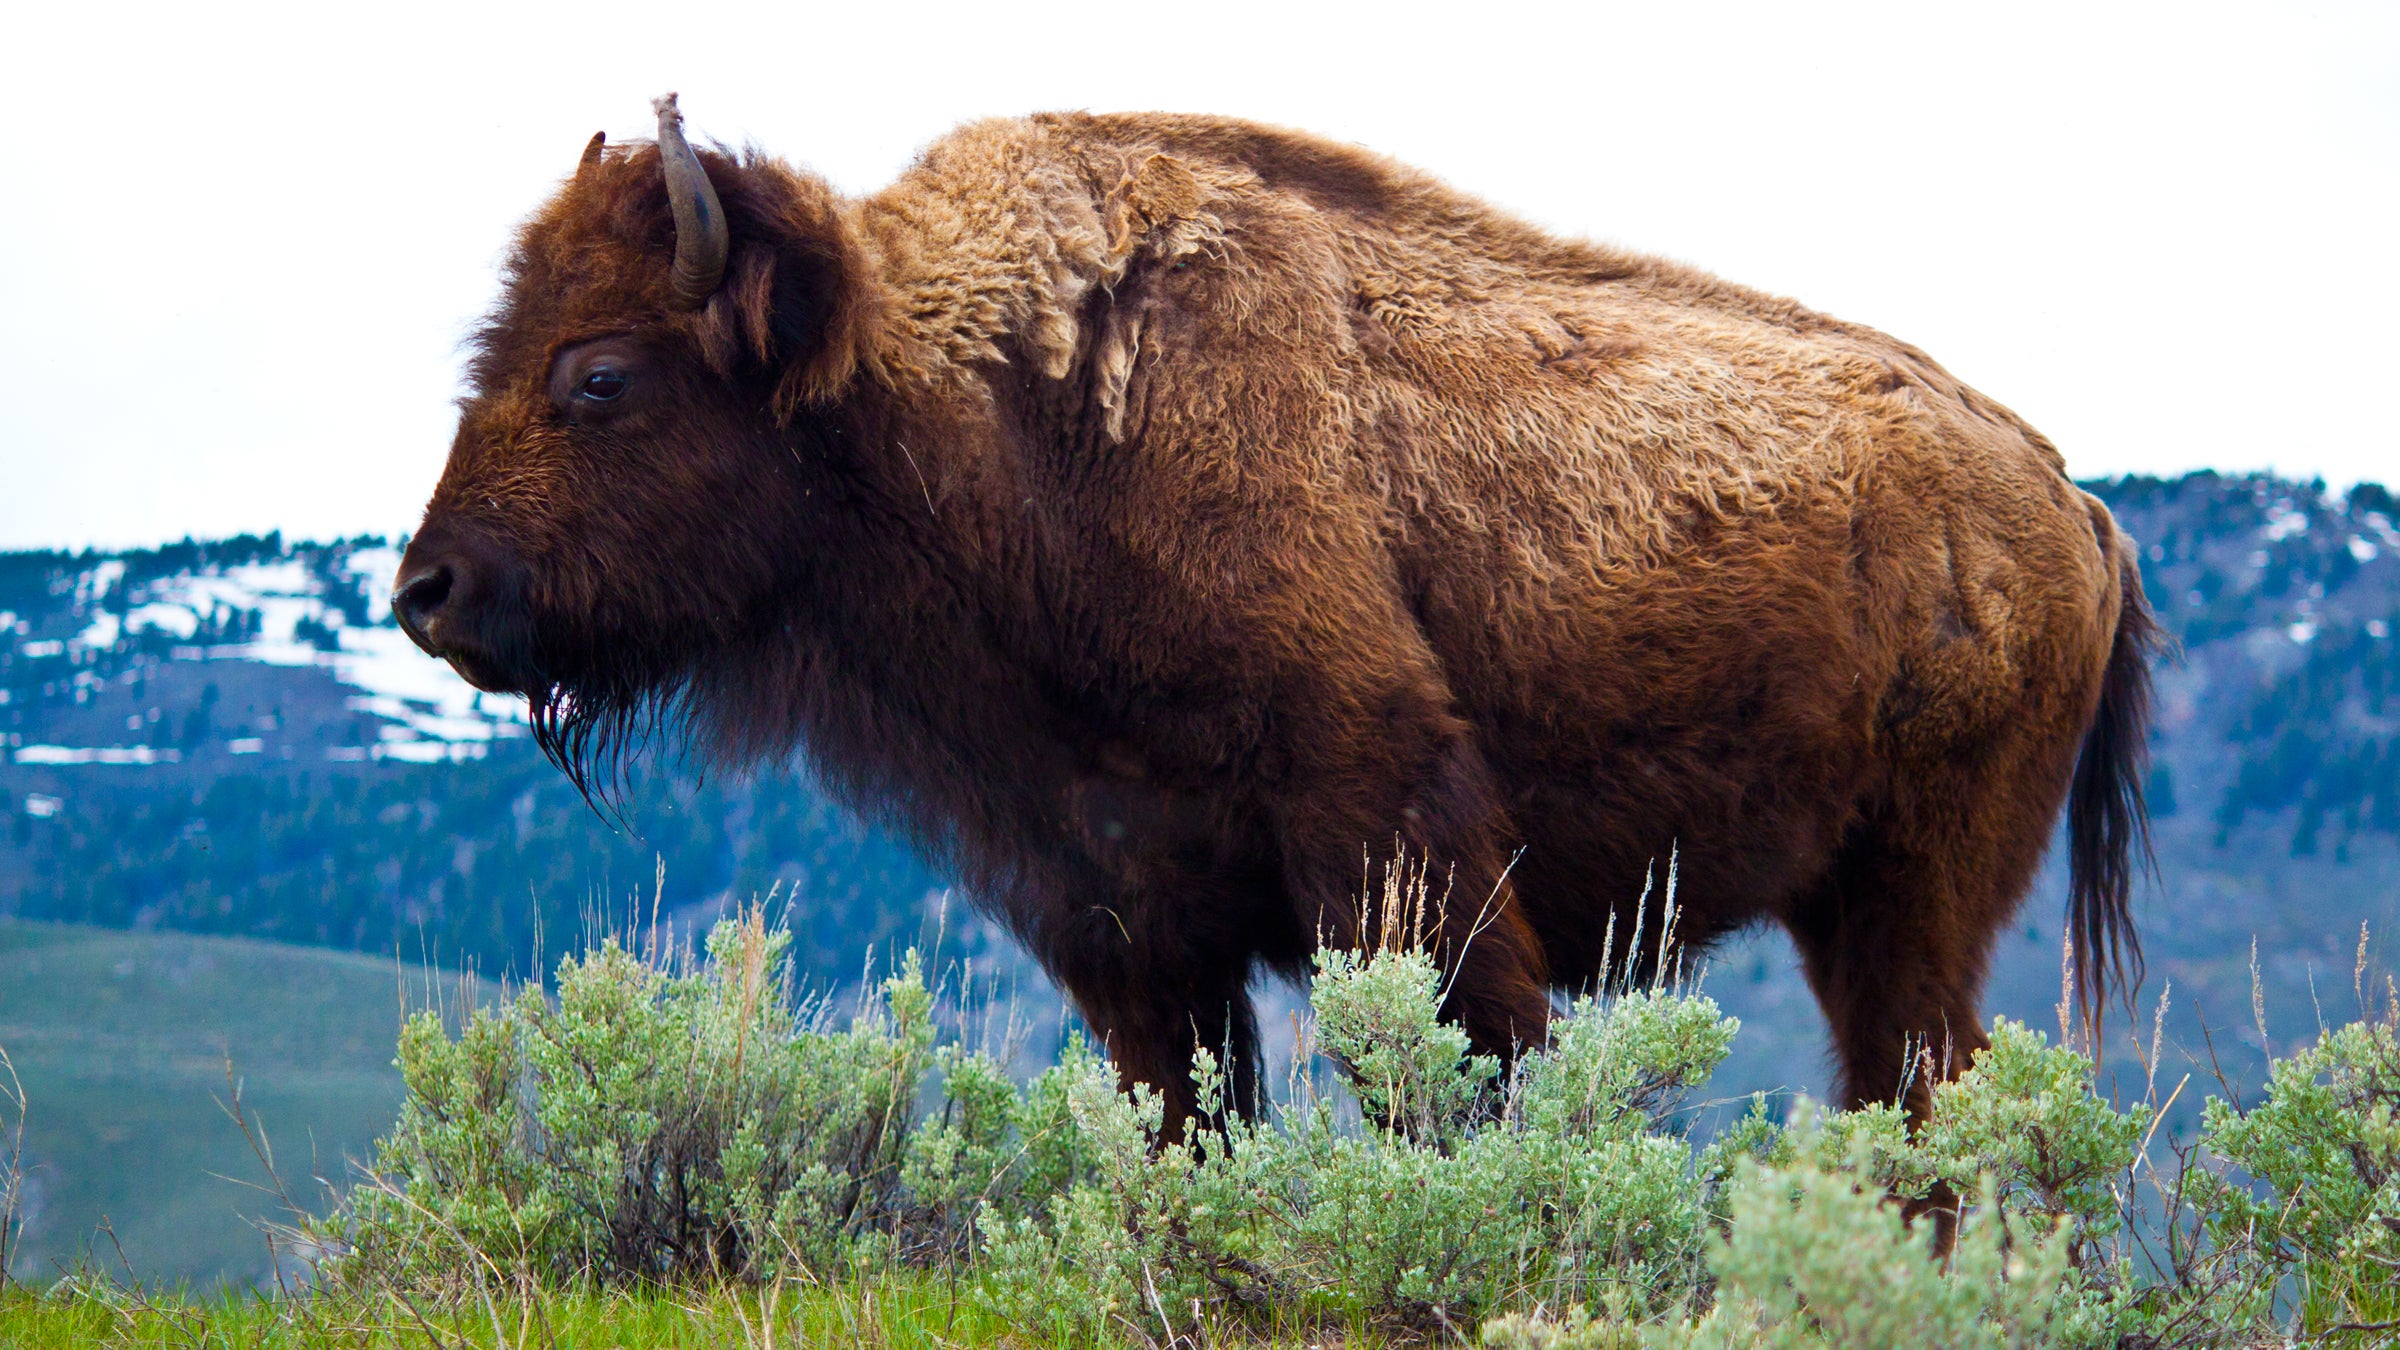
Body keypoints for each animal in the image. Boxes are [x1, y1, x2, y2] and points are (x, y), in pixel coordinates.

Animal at [395, 95, 2158, 1133]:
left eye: (599, 375)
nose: (427, 591)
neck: (1012, 410)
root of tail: (2075, 505)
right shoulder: (1128, 921)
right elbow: (1186, 1115)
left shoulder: (1397, 850)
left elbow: (1450, 1075)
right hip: (1859, 900)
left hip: (1917, 891)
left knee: (1927, 1099)